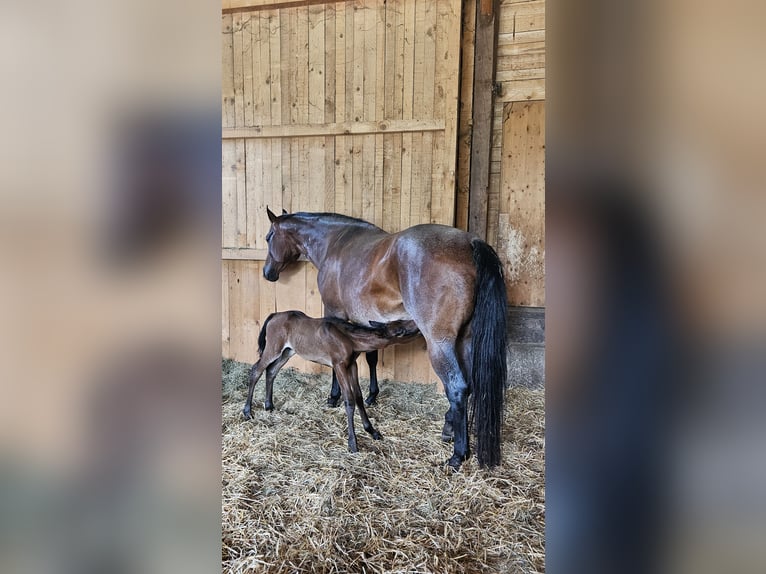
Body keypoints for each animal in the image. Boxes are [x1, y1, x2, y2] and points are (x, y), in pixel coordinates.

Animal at [243, 310, 420, 454]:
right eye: (401, 331)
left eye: (401, 321)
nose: (416, 325)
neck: (350, 339)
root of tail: (273, 316)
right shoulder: (339, 365)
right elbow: (349, 399)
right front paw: (353, 444)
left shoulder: (352, 365)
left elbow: (358, 396)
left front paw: (372, 431)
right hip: (273, 347)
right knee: (256, 370)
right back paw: (247, 411)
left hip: (288, 351)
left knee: (271, 371)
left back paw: (269, 406)